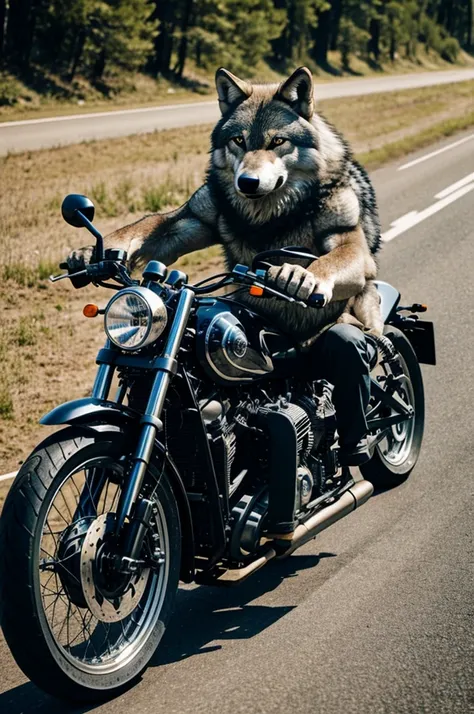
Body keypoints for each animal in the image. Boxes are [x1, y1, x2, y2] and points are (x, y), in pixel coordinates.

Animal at [69, 68, 382, 340]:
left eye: (277, 141)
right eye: (238, 140)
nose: (247, 182)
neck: (267, 216)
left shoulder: (345, 237)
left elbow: (336, 258)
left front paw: (302, 276)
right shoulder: (193, 219)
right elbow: (147, 224)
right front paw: (91, 252)